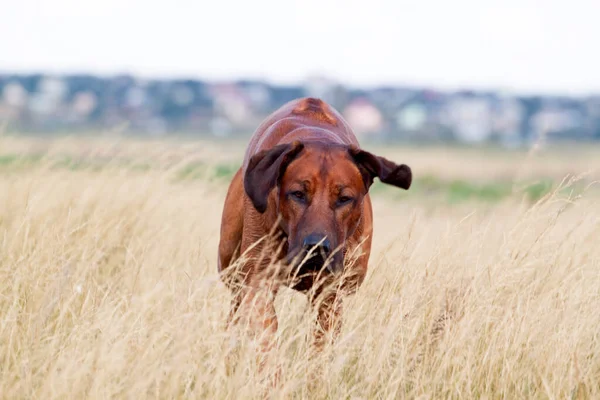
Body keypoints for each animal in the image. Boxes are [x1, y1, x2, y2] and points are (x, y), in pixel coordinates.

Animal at [218, 98, 410, 354]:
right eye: (298, 194)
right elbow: (266, 337)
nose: (316, 247)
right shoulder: (259, 280)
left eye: (344, 198)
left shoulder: (329, 295)